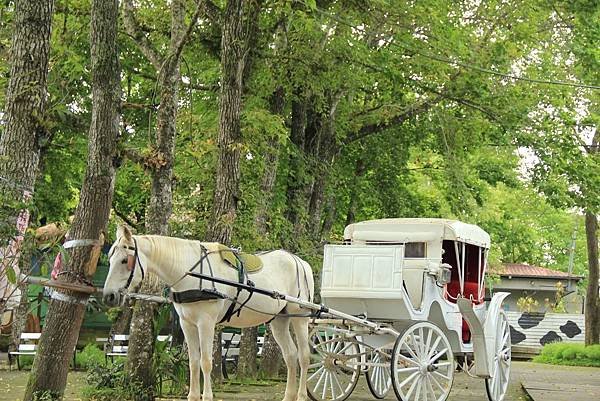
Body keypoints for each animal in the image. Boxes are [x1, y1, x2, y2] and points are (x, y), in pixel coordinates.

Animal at [102, 225, 314, 400]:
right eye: (110, 260)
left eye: (124, 260)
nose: (109, 296)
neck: (192, 272)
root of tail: (300, 262)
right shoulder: (187, 324)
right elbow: (193, 362)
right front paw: (193, 395)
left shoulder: (206, 323)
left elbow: (205, 362)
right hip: (279, 320)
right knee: (290, 355)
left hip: (300, 317)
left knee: (304, 356)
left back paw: (302, 395)